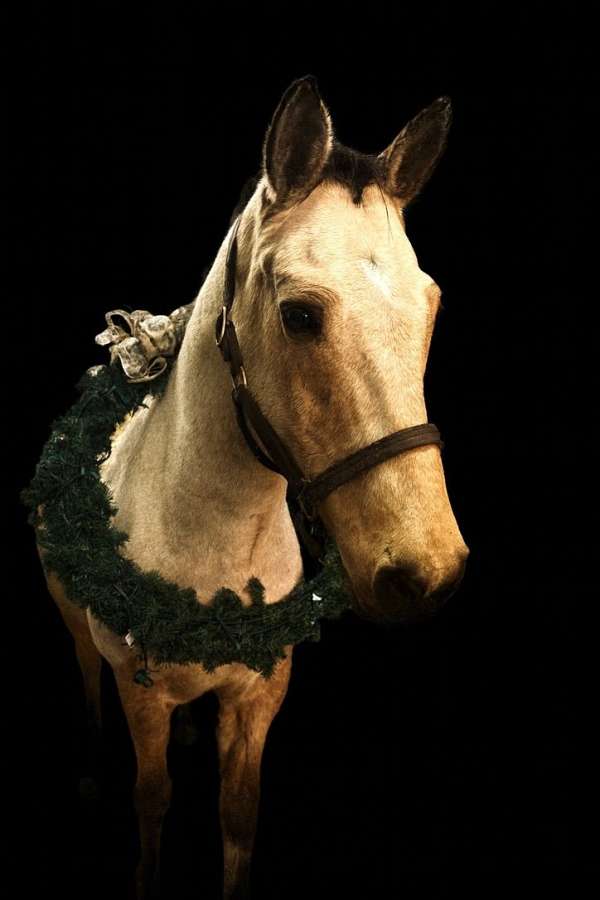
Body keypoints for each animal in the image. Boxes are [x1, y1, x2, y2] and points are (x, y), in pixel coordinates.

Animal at [34, 75, 469, 899]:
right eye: (299, 315)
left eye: (430, 309)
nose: (424, 572)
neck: (216, 541)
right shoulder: (142, 695)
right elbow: (152, 803)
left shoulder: (258, 699)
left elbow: (238, 819)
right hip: (75, 628)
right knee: (84, 682)